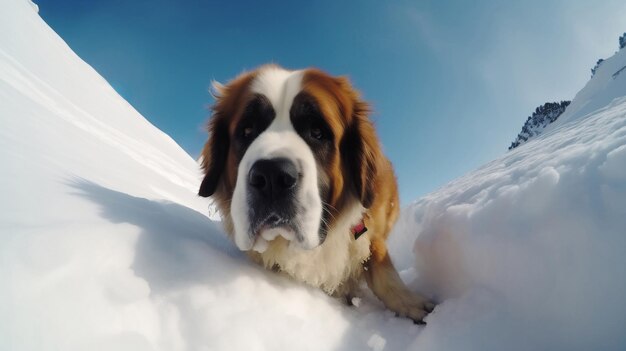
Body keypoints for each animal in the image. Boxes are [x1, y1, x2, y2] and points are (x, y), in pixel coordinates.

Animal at [197, 64, 432, 324]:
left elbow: (382, 268)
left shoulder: (368, 231)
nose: (271, 176)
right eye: (247, 131)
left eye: (317, 132)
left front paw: (410, 303)